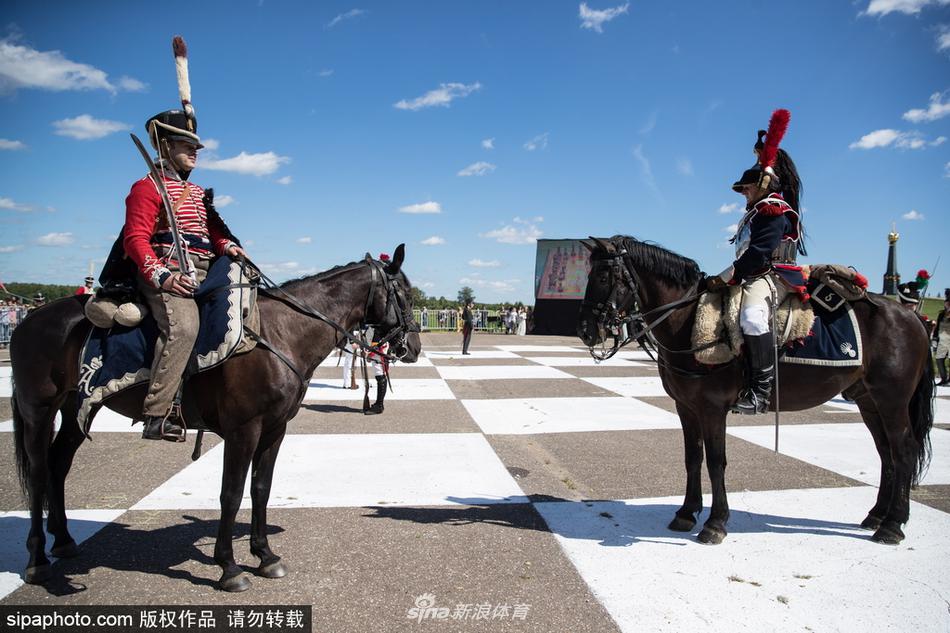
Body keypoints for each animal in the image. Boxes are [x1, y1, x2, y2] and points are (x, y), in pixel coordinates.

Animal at [10, 244, 420, 592]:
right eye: (405, 294)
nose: (413, 348)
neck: (281, 333)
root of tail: (29, 320)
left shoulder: (275, 429)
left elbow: (261, 488)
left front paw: (265, 555)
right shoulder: (243, 431)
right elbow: (231, 493)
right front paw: (229, 566)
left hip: (76, 410)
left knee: (59, 464)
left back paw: (63, 541)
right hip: (39, 410)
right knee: (39, 471)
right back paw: (37, 560)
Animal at [580, 235, 936, 544]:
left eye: (604, 274)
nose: (586, 331)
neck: (689, 320)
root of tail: (912, 317)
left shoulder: (712, 409)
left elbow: (716, 462)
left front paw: (715, 523)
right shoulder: (686, 407)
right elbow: (693, 457)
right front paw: (686, 513)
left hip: (892, 402)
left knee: (903, 451)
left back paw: (892, 525)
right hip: (869, 402)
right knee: (887, 453)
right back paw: (877, 515)